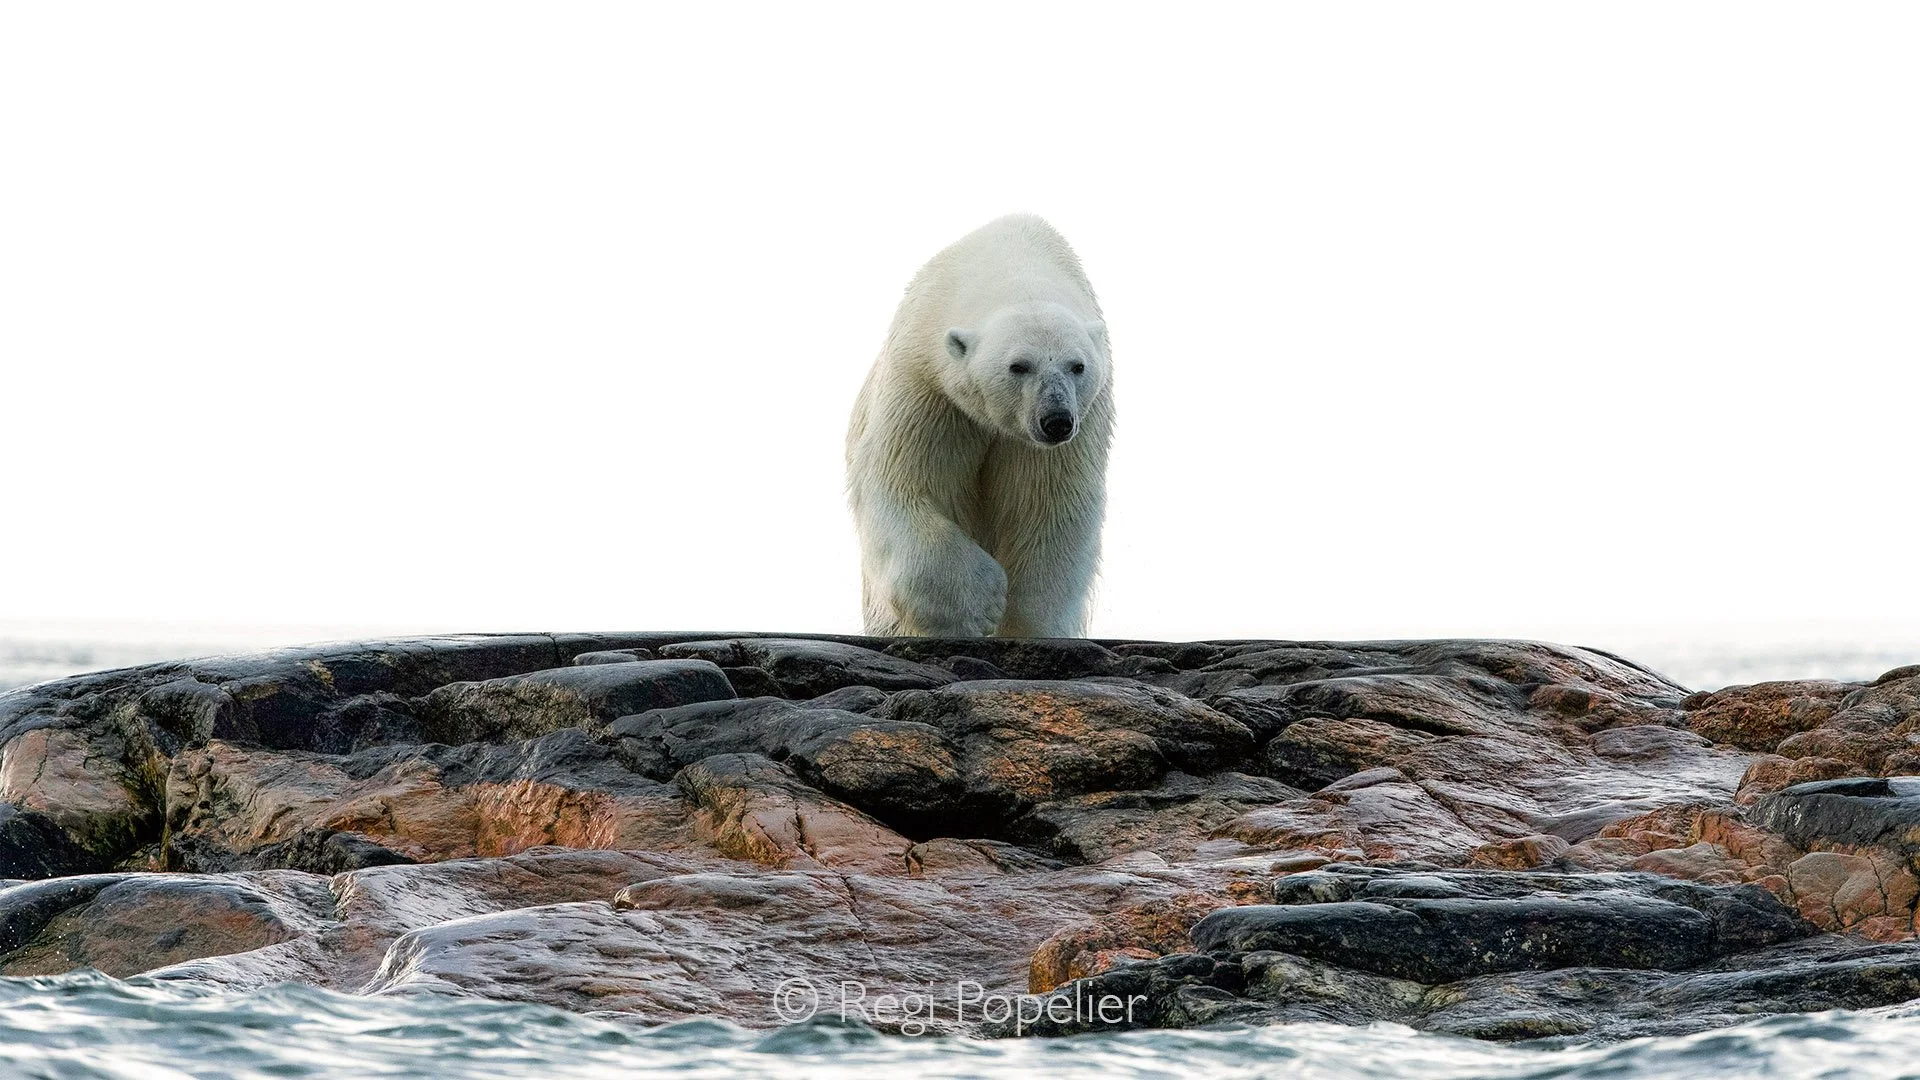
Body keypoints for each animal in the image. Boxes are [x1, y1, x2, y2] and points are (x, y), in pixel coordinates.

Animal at [846, 214, 1113, 638]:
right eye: (1018, 365)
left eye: (1077, 366)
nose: (1055, 421)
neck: (1010, 257)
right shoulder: (928, 386)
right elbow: (904, 484)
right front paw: (979, 605)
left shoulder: (1078, 426)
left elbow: (1050, 506)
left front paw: (1025, 622)